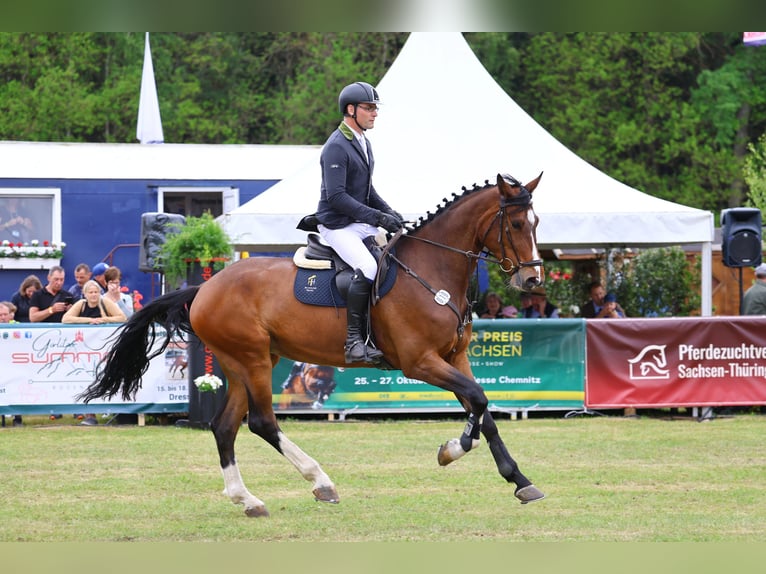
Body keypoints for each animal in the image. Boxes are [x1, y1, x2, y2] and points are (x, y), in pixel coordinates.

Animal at [78, 173, 544, 520]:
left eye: (536, 223)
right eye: (517, 225)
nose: (533, 280)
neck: (432, 270)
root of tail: (206, 286)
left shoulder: (455, 357)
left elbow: (483, 409)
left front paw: (519, 481)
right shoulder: (420, 362)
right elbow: (478, 400)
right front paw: (453, 450)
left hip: (244, 362)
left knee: (225, 426)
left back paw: (248, 500)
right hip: (252, 360)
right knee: (262, 423)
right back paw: (320, 482)